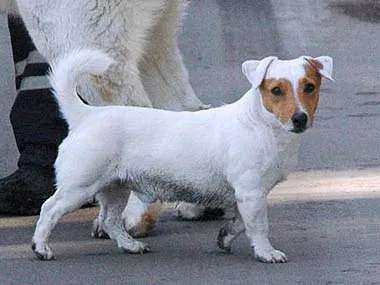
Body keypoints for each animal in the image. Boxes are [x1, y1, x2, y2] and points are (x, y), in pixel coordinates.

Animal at [31, 48, 332, 262]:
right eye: (276, 90)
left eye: (310, 87)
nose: (300, 119)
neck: (261, 125)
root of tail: (86, 116)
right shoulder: (251, 192)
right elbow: (258, 227)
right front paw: (266, 252)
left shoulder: (247, 196)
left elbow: (239, 223)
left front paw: (224, 238)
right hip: (79, 187)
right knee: (50, 209)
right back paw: (41, 248)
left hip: (115, 188)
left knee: (110, 220)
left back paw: (131, 245)